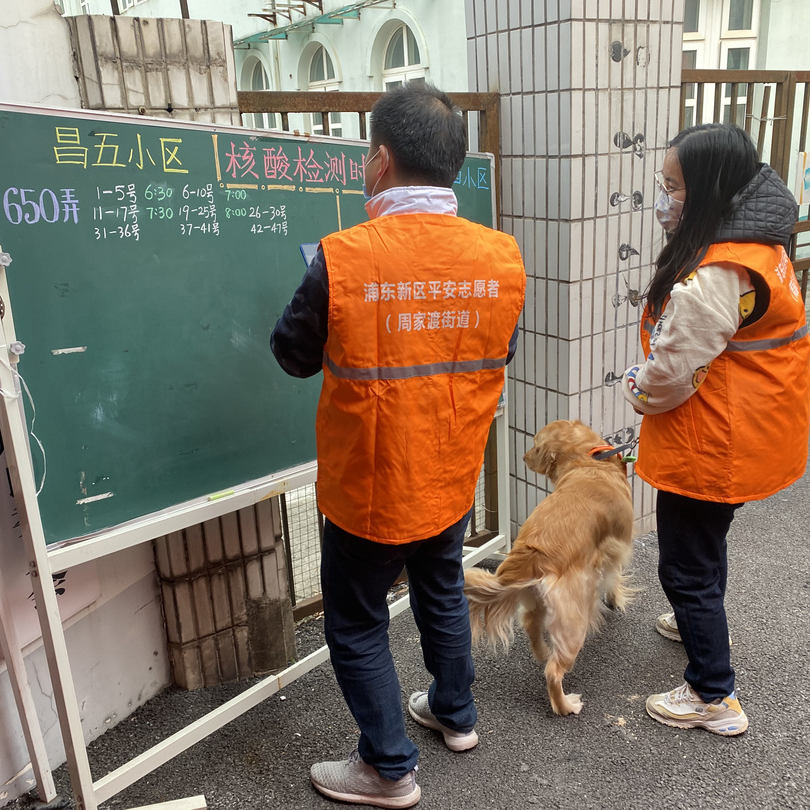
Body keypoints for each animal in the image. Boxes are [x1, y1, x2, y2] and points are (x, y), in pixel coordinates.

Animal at [460, 416, 632, 712]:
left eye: (535, 444)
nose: (523, 456)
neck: (588, 462)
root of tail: (533, 555)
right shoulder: (617, 548)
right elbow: (614, 575)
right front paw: (616, 599)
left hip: (535, 597)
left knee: (531, 624)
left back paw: (543, 652)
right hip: (574, 621)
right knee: (553, 671)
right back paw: (566, 705)